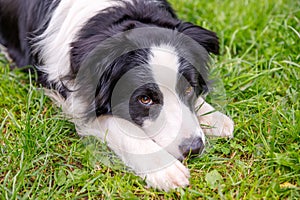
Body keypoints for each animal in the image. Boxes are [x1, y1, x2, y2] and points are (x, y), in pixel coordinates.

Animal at [0, 0, 234, 191]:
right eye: (145, 99)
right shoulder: (75, 100)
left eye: (188, 89)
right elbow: (122, 128)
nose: (194, 148)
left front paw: (213, 117)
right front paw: (164, 168)